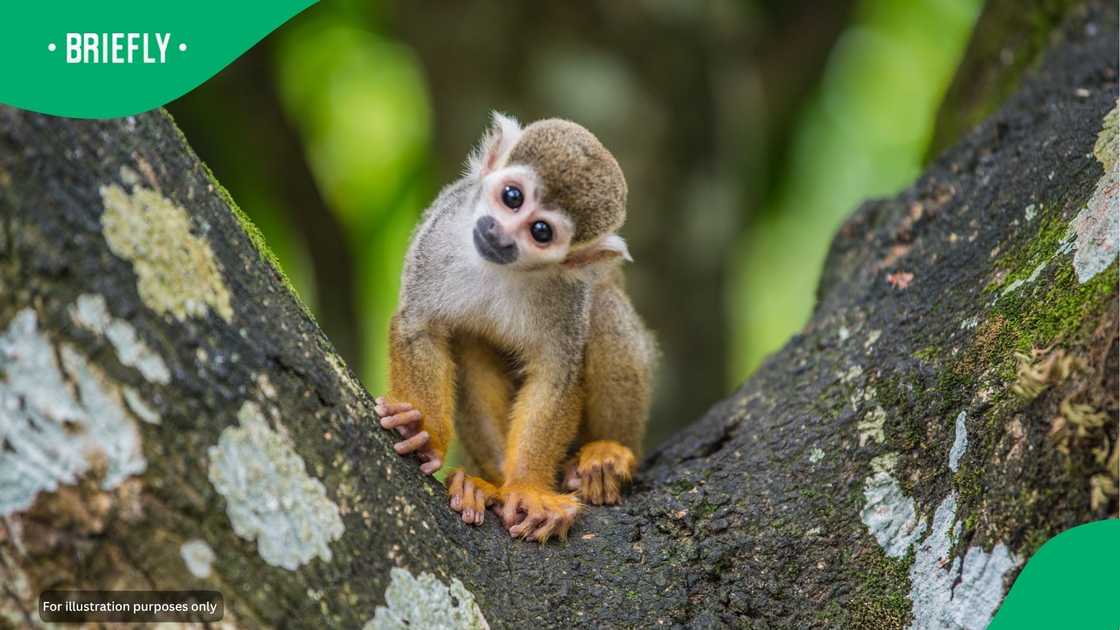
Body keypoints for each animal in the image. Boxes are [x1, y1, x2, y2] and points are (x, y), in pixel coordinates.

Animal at [375, 113, 656, 542]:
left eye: (541, 232)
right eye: (512, 197)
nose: (499, 234)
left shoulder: (566, 291)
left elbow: (555, 375)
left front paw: (527, 488)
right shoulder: (441, 229)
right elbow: (421, 326)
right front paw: (422, 433)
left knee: (605, 307)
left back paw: (609, 455)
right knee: (470, 341)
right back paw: (485, 484)